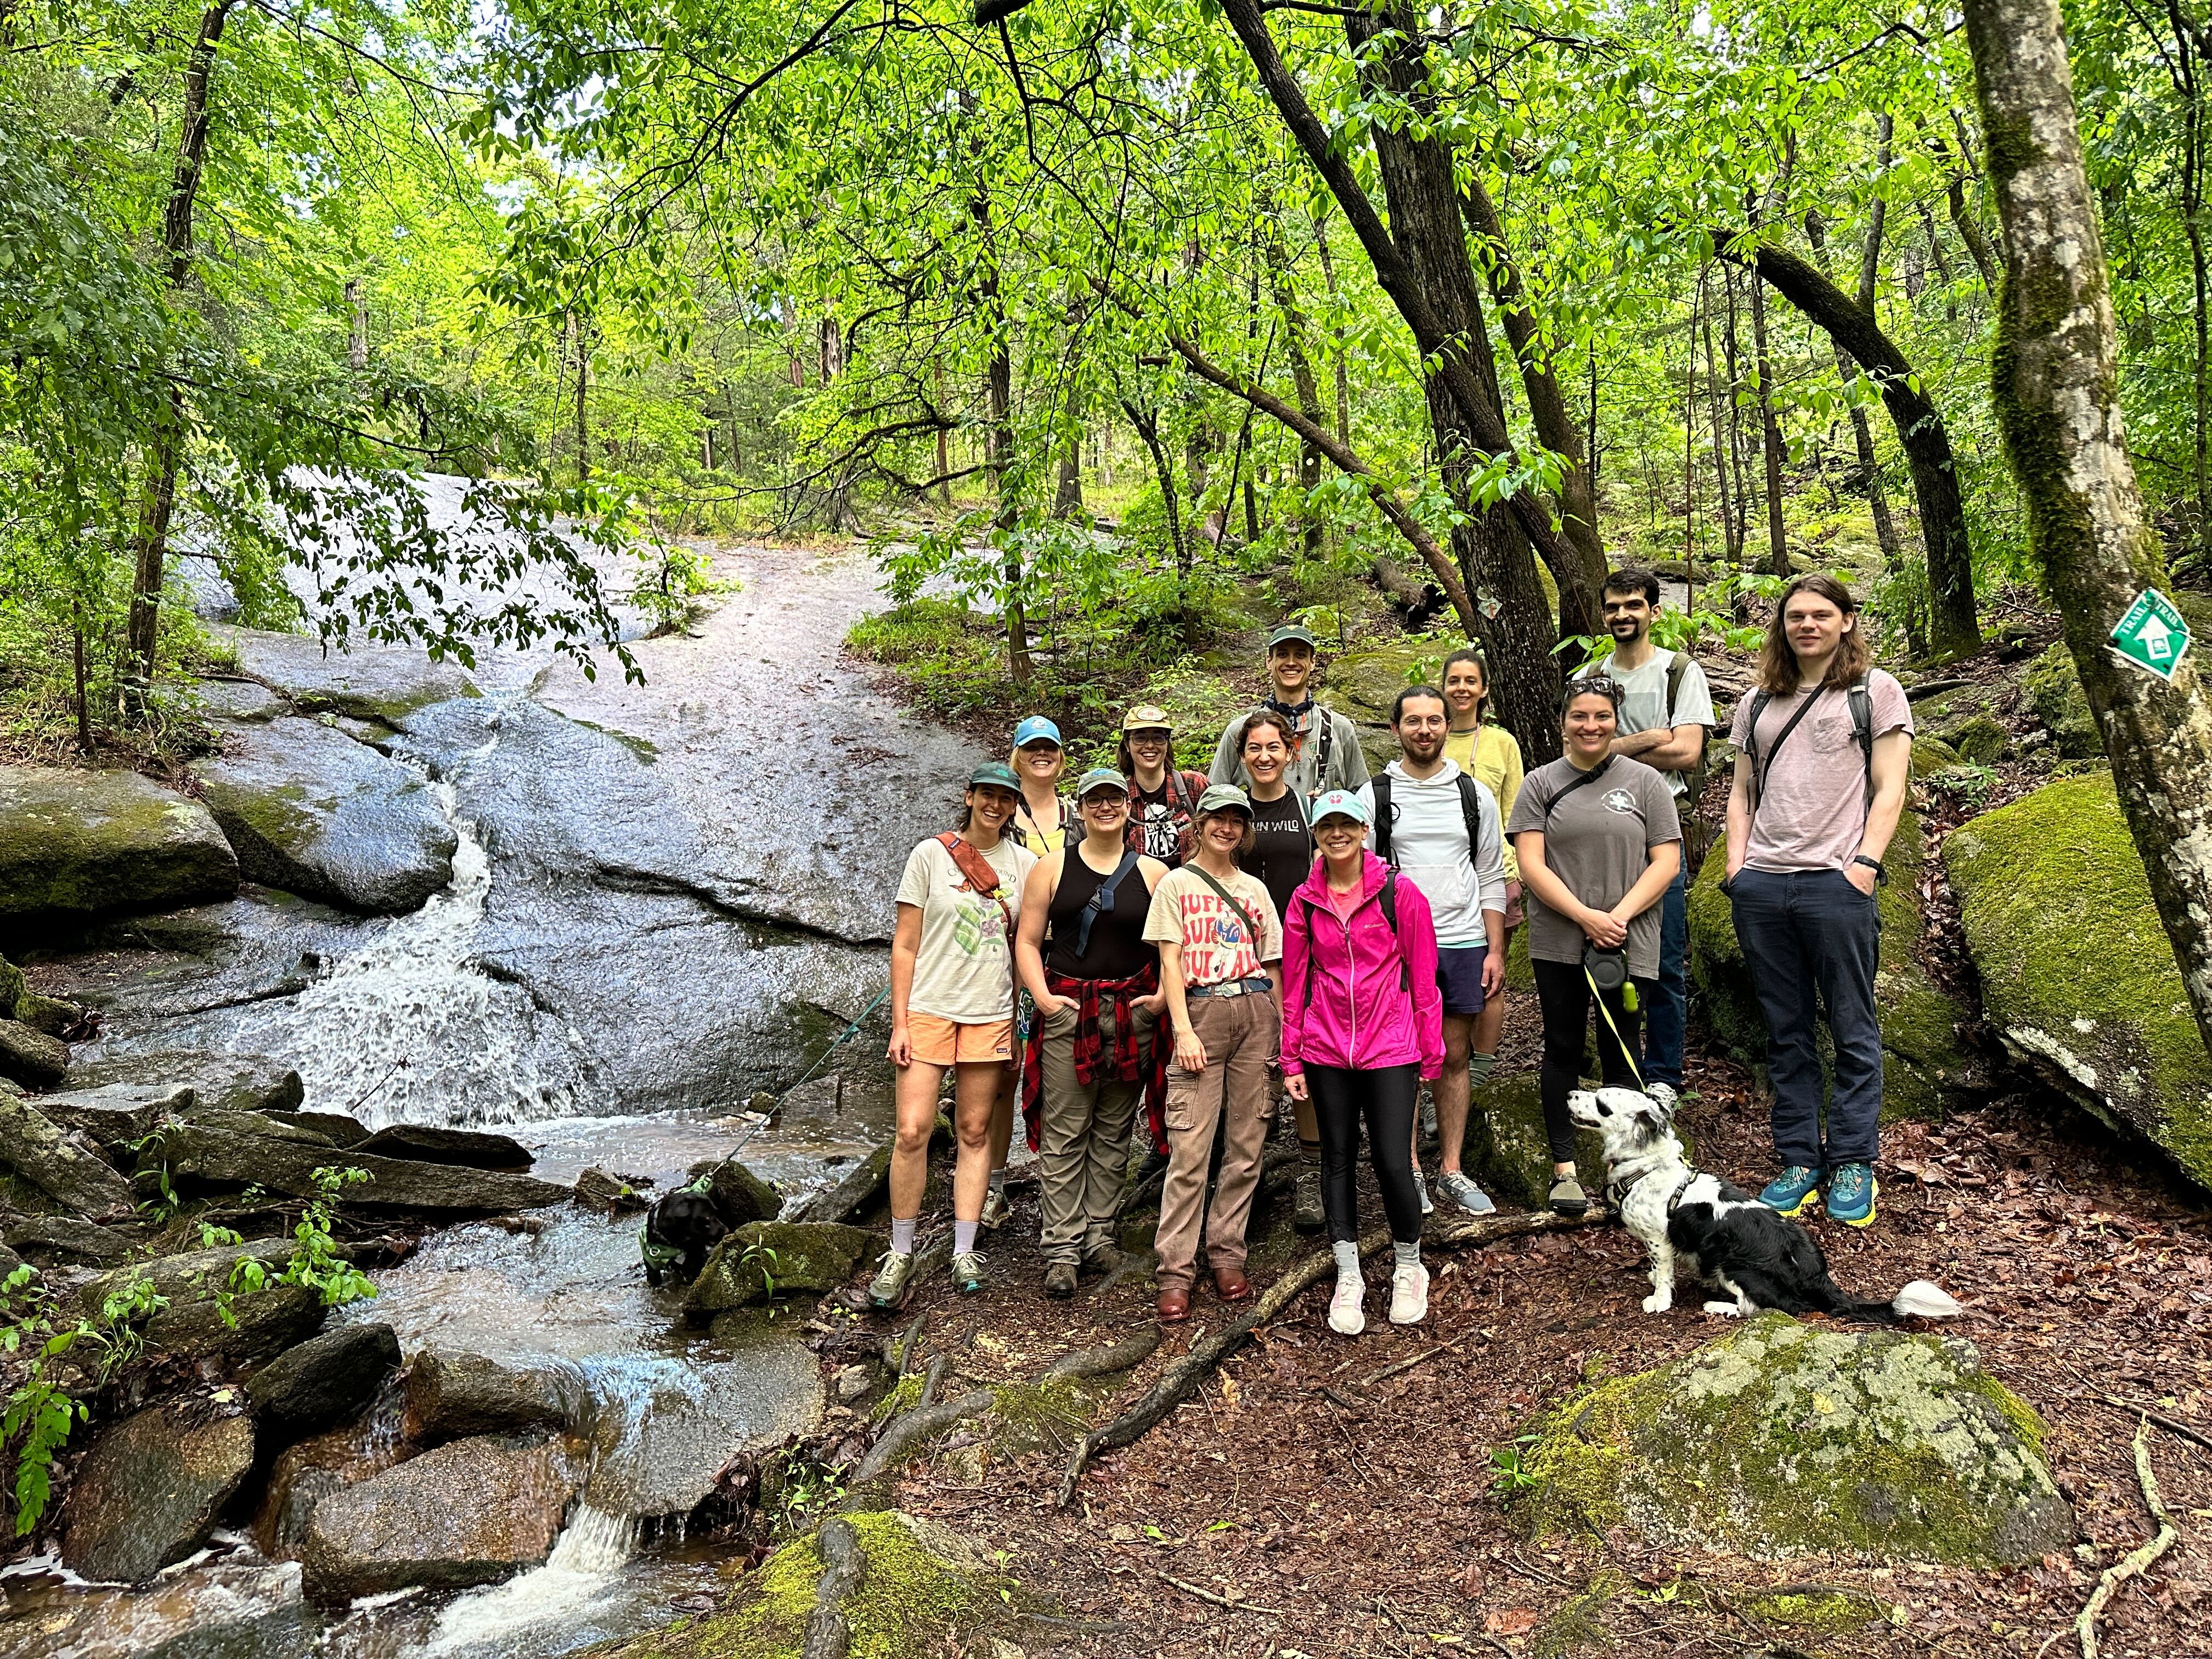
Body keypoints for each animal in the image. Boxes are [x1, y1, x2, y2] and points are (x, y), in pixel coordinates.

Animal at [1566, 1092, 1964, 1327]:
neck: (1647, 1165)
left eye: (1601, 1103)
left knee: (1769, 1307)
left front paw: (1659, 1300)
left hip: (1734, 1265)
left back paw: (1719, 1307)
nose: (1570, 1093)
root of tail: (1815, 1272)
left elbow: (1663, 1273)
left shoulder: (1659, 1239)